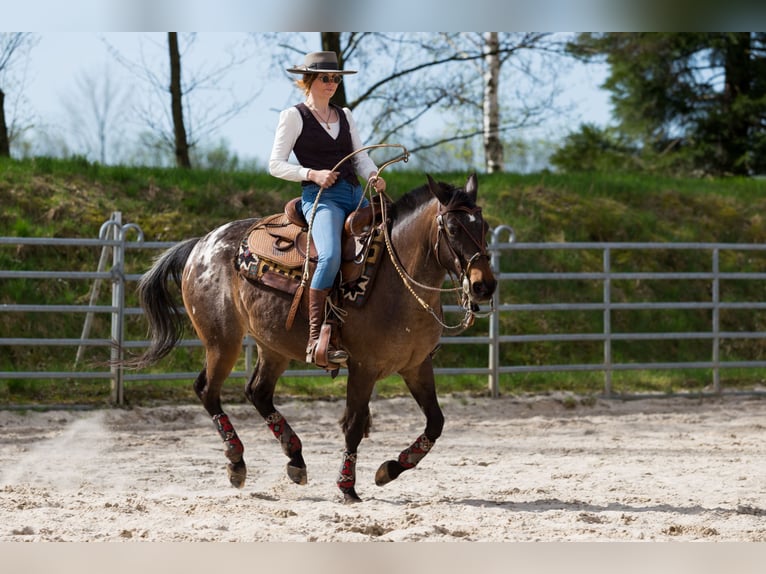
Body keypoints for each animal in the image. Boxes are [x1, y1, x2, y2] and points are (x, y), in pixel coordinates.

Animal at [126, 174, 498, 504]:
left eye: (483, 226)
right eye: (453, 228)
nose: (484, 285)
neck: (395, 279)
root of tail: (201, 245)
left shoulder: (417, 366)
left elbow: (435, 423)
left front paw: (389, 469)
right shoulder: (363, 368)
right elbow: (353, 424)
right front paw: (347, 488)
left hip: (271, 345)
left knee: (258, 392)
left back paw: (295, 460)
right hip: (222, 342)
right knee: (207, 390)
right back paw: (237, 462)